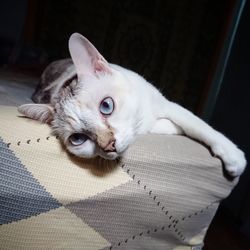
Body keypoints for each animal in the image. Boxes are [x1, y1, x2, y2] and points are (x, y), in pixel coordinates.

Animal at [18, 32, 246, 178]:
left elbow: (197, 125)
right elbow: (173, 126)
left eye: (106, 106)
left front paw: (233, 156)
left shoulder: (166, 104)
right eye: (78, 139)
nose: (108, 146)